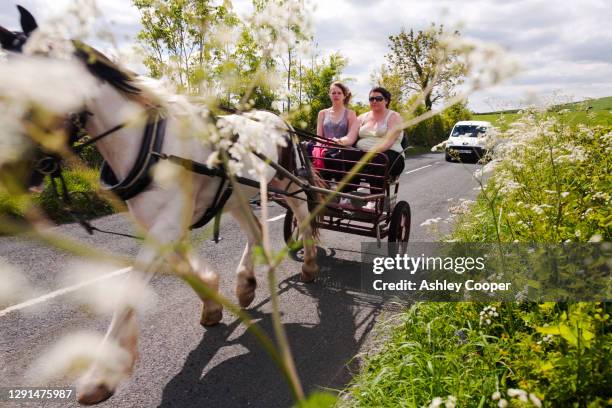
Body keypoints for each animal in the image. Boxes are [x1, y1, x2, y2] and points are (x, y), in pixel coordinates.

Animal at [1, 6, 320, 404]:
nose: (13, 168)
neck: (148, 143)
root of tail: (280, 120)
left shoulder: (166, 226)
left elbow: (129, 292)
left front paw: (100, 376)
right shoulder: (160, 225)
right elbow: (183, 269)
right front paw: (212, 300)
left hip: (290, 184)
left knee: (304, 216)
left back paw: (309, 265)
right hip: (236, 196)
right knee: (257, 229)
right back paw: (245, 284)